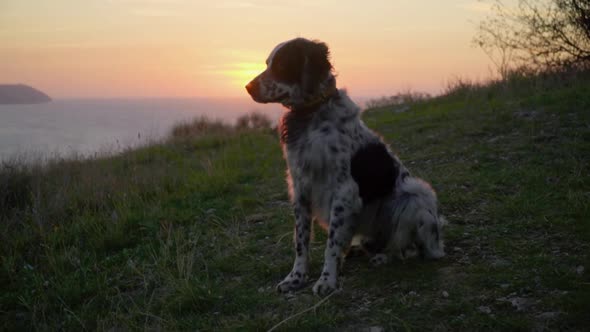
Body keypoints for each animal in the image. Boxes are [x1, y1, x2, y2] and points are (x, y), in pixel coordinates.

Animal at [247, 37, 446, 294]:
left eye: (281, 65)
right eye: (267, 64)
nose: (248, 87)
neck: (311, 115)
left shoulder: (343, 191)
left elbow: (330, 244)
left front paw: (327, 280)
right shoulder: (300, 188)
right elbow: (301, 241)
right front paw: (296, 277)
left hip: (416, 194)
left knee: (409, 248)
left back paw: (385, 256)